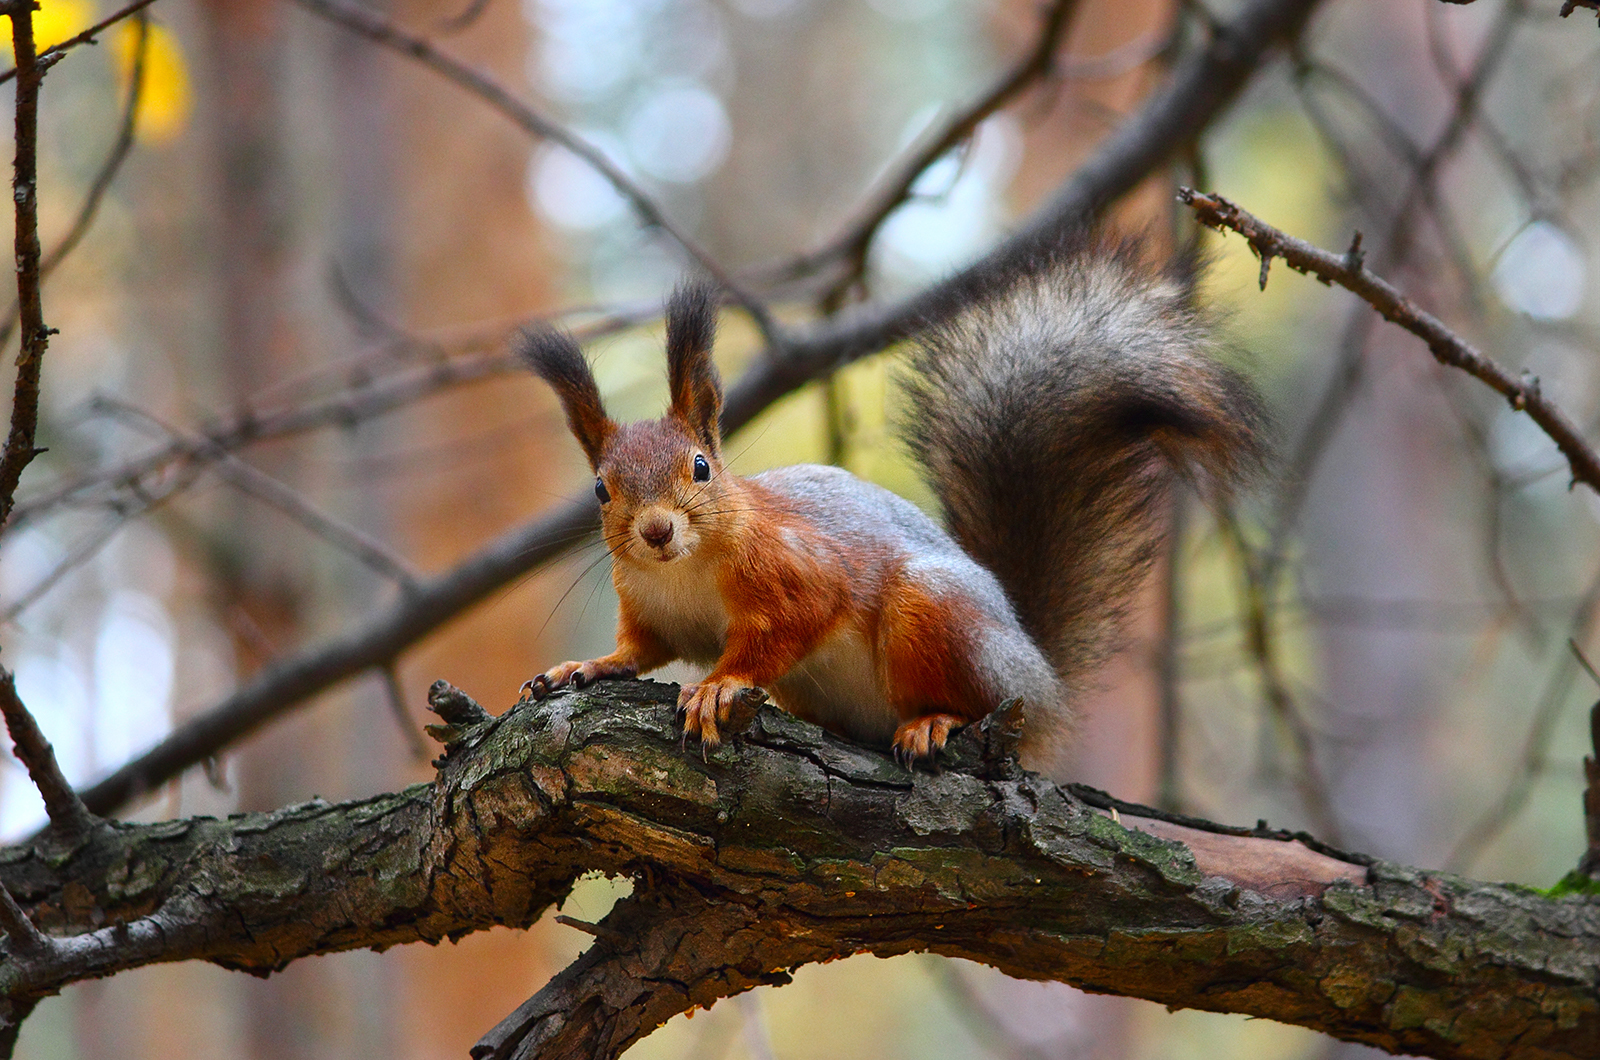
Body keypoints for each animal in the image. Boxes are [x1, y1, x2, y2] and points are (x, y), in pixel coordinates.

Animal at [521, 238, 1260, 771]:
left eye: (701, 468)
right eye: (602, 489)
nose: (655, 531)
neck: (686, 572)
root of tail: (1044, 680)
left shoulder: (795, 572)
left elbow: (783, 629)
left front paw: (719, 686)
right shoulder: (649, 610)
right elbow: (640, 650)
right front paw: (585, 667)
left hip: (933, 616)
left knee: (975, 705)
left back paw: (935, 722)